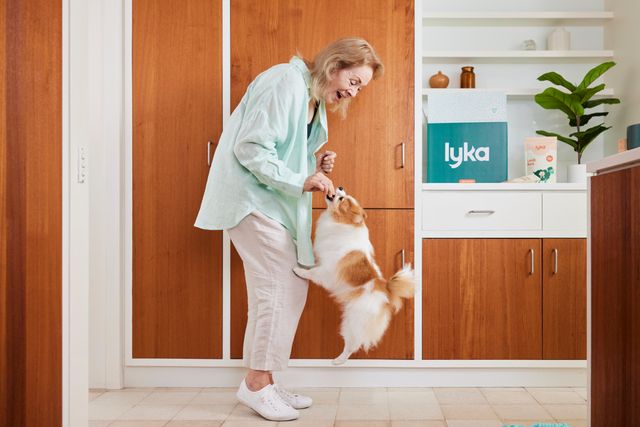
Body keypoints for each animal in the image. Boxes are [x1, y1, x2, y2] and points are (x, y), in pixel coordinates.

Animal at [294, 187, 416, 364]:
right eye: (343, 194)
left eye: (341, 199)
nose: (340, 187)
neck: (342, 224)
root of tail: (385, 289)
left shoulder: (327, 270)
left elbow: (312, 272)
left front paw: (299, 271)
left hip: (353, 322)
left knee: (352, 344)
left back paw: (339, 360)